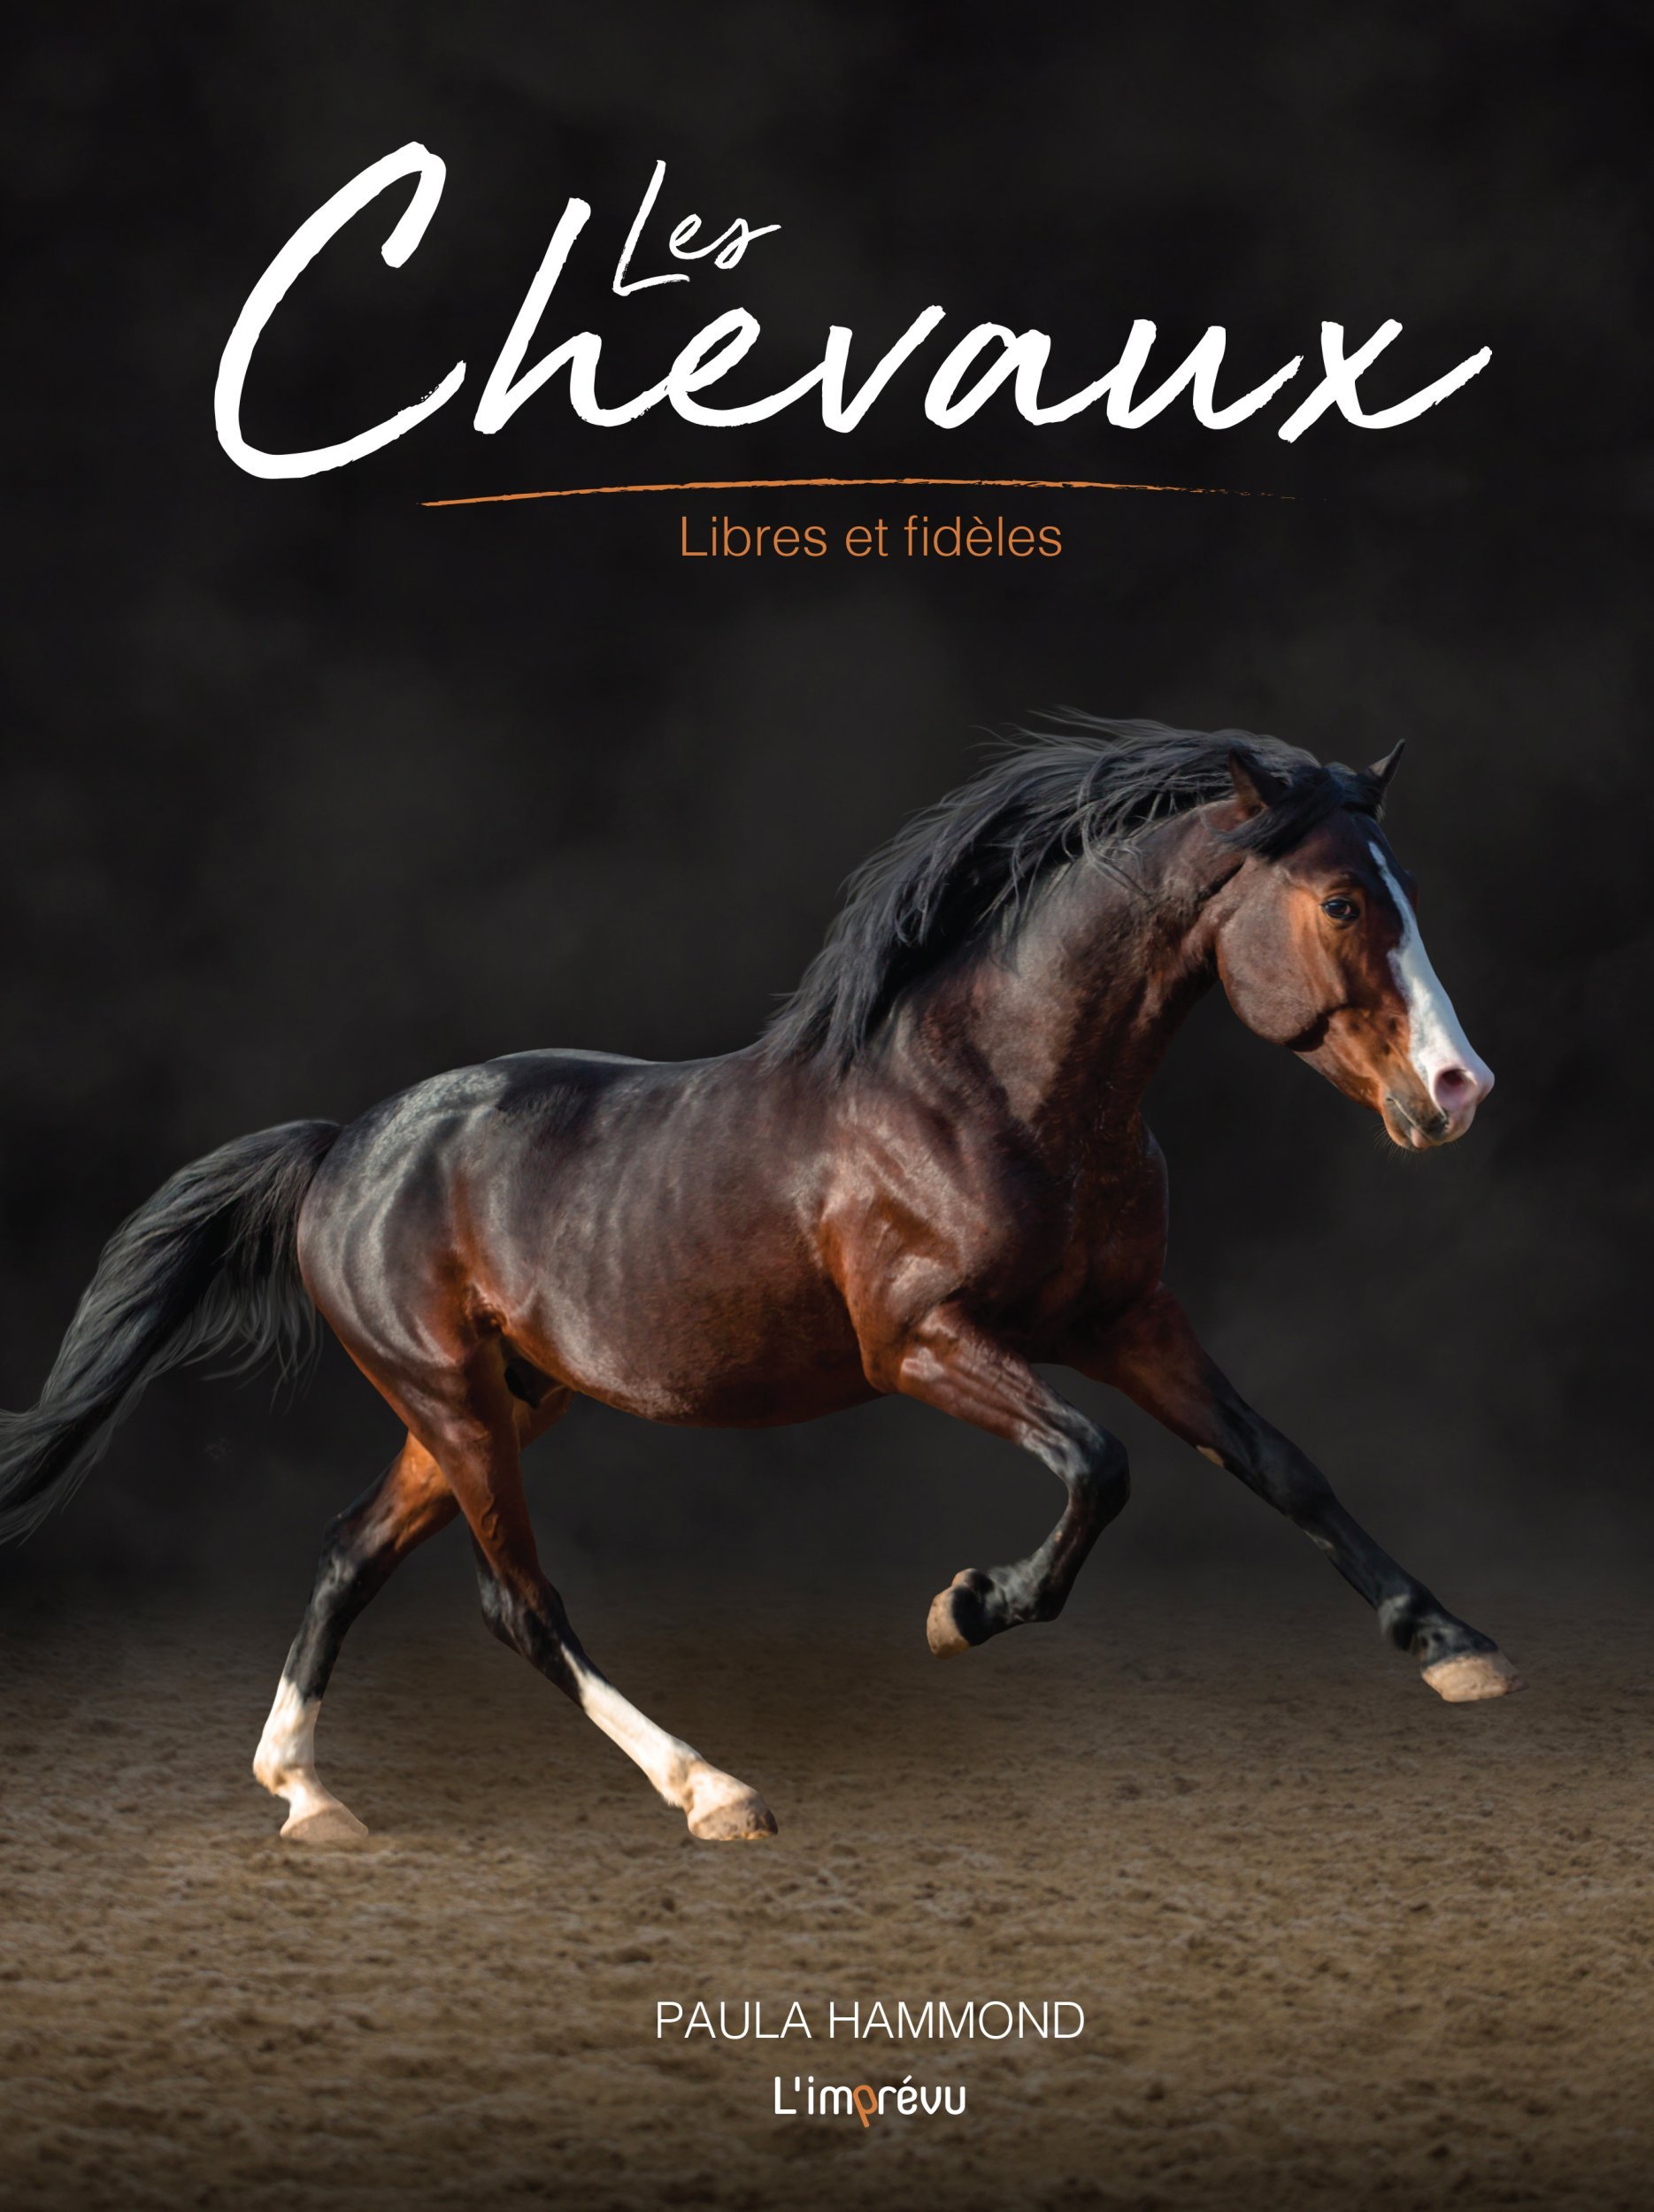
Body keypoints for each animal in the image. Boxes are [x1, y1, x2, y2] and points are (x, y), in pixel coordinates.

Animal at [0, 717, 1519, 1846]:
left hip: (500, 1401)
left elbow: (1280, 1467)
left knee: (347, 1552)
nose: (1459, 1090)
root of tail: (339, 1148)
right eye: (1341, 899)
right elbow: (1099, 1466)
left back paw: (308, 1796)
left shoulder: (1126, 1320)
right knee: (518, 1606)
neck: (997, 1093)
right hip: (455, 1403)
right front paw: (966, 1610)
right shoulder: (923, 1345)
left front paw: (1453, 1645)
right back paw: (710, 1790)